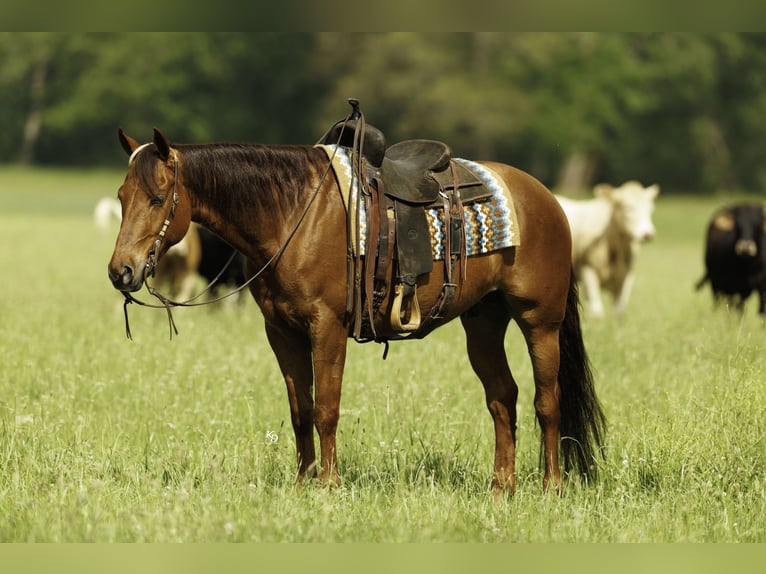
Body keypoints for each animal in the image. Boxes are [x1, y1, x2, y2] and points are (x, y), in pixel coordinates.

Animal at [107, 126, 606, 496]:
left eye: (157, 198)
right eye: (121, 197)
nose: (121, 271)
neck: (291, 214)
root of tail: (545, 198)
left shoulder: (326, 328)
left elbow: (327, 409)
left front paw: (328, 485)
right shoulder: (281, 333)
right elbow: (301, 410)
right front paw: (303, 482)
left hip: (540, 321)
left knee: (547, 401)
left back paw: (552, 486)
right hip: (483, 322)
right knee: (503, 398)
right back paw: (501, 487)